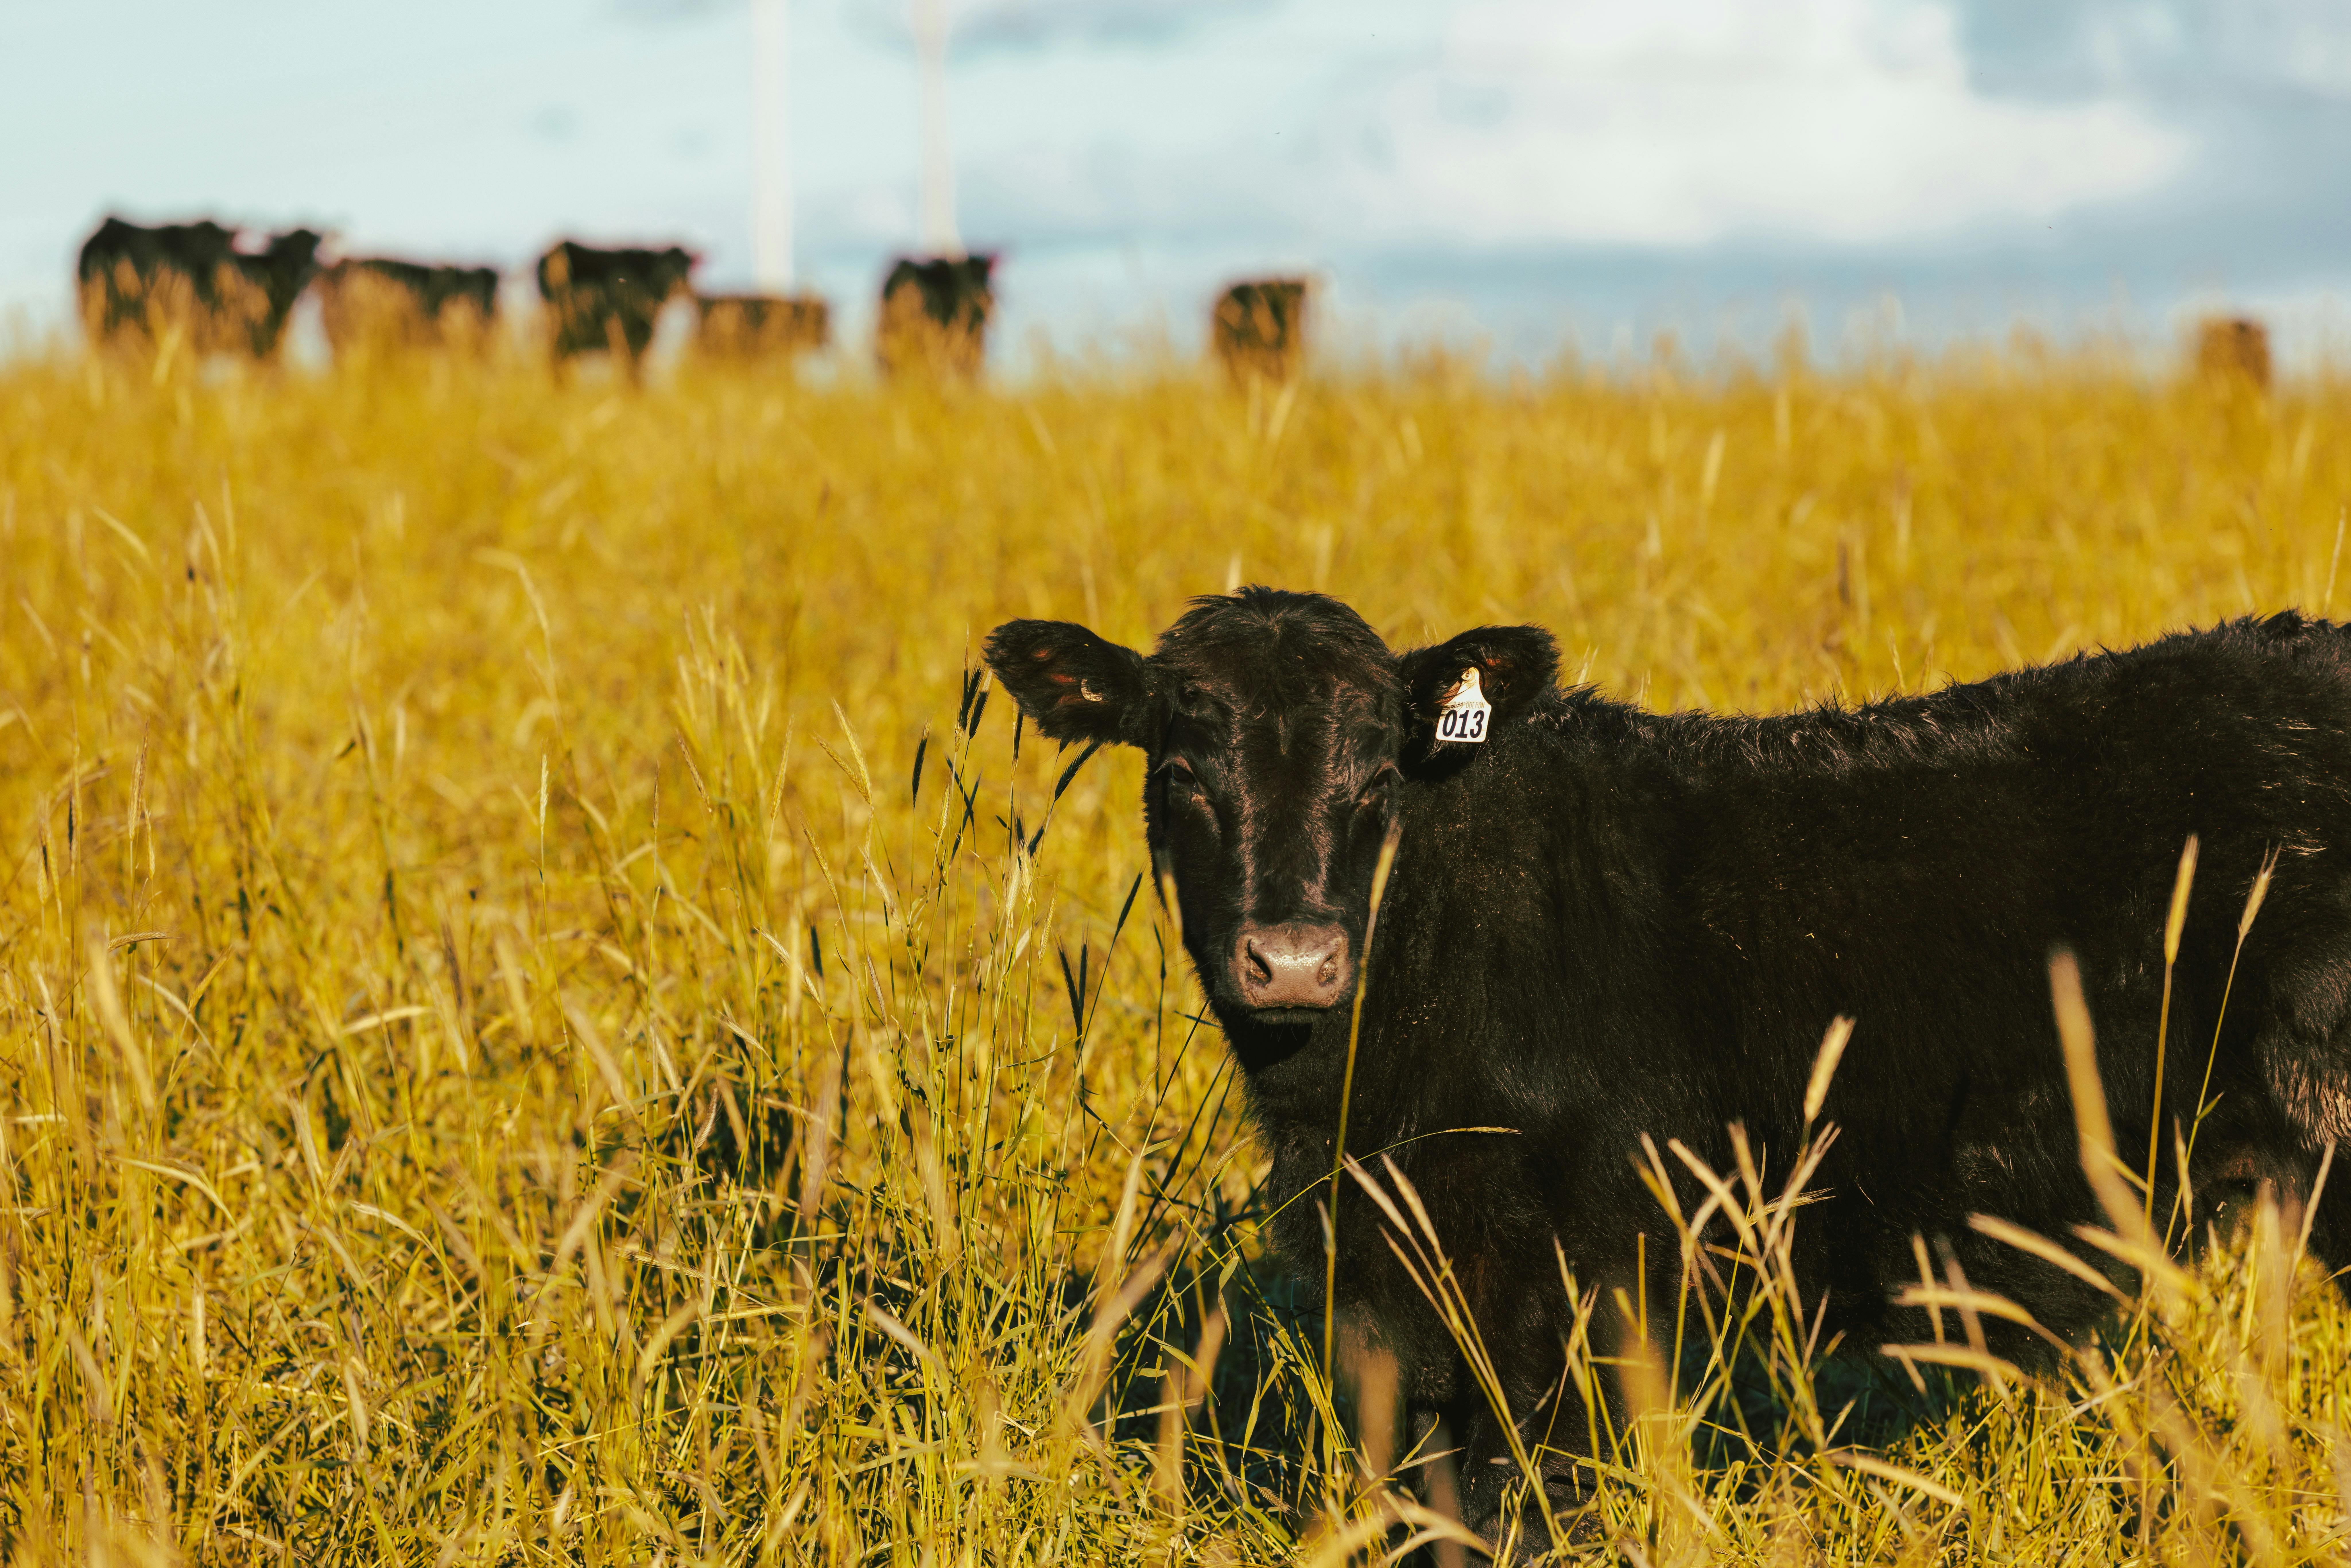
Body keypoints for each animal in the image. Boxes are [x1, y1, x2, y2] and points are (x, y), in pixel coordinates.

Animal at [535, 241, 699, 377]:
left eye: (687, 268)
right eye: (669, 267)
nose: (681, 287)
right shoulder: (631, 335)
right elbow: (633, 370)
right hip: (559, 329)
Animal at [986, 589, 2351, 1551]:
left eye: (1377, 777)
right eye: (1179, 773)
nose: (1293, 958)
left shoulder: (1579, 1286)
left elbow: (1537, 1506)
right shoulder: (1380, 1292)